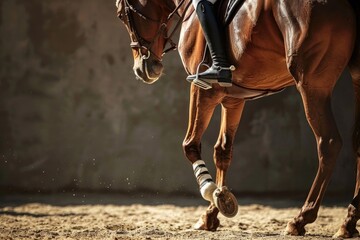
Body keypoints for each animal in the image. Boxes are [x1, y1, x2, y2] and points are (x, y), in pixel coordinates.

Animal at [116, 0, 360, 237]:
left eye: (121, 14)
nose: (143, 69)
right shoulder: (233, 98)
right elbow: (223, 152)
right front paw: (213, 210)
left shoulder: (202, 89)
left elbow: (190, 145)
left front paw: (211, 191)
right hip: (353, 79)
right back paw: (348, 222)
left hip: (312, 84)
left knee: (328, 143)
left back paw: (301, 219)